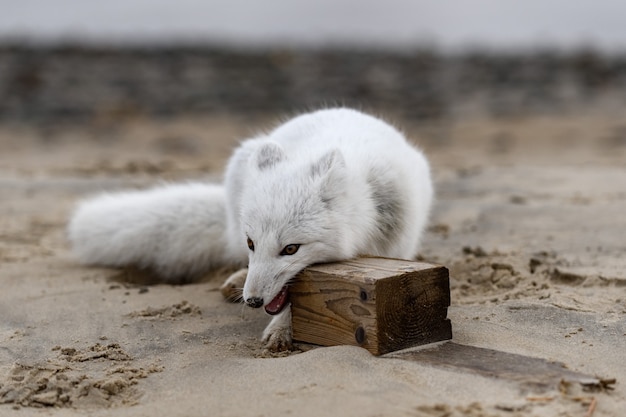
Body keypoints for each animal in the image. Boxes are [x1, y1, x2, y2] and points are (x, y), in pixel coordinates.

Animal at [67, 107, 428, 348]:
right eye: (251, 243)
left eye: (291, 249)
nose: (253, 301)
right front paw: (280, 327)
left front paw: (282, 328)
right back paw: (237, 280)